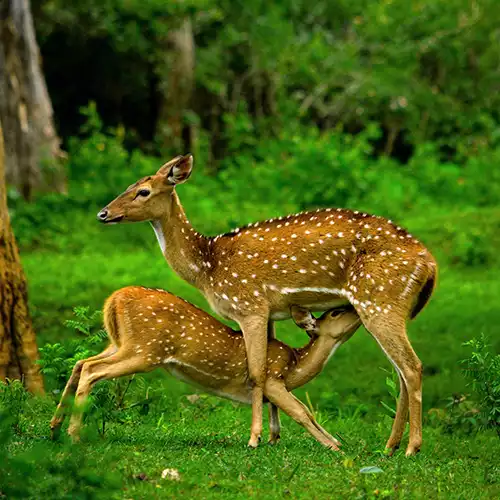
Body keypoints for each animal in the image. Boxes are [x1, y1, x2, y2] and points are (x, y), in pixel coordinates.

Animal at [50, 286, 362, 450]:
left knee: (81, 362)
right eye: (335, 312)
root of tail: (114, 298)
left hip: (120, 343)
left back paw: (54, 428)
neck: (296, 365)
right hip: (145, 349)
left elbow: (294, 411)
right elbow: (302, 412)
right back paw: (73, 435)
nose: (356, 309)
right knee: (92, 370)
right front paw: (334, 446)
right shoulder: (274, 378)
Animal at [98, 154, 438, 456]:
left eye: (144, 191)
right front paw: (274, 436)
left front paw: (254, 438)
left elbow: (257, 373)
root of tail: (430, 264)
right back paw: (390, 446)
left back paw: (411, 447)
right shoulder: (271, 312)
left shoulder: (249, 306)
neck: (207, 267)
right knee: (401, 371)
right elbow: (268, 364)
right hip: (388, 309)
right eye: (129, 185)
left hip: (380, 302)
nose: (103, 213)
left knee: (411, 366)